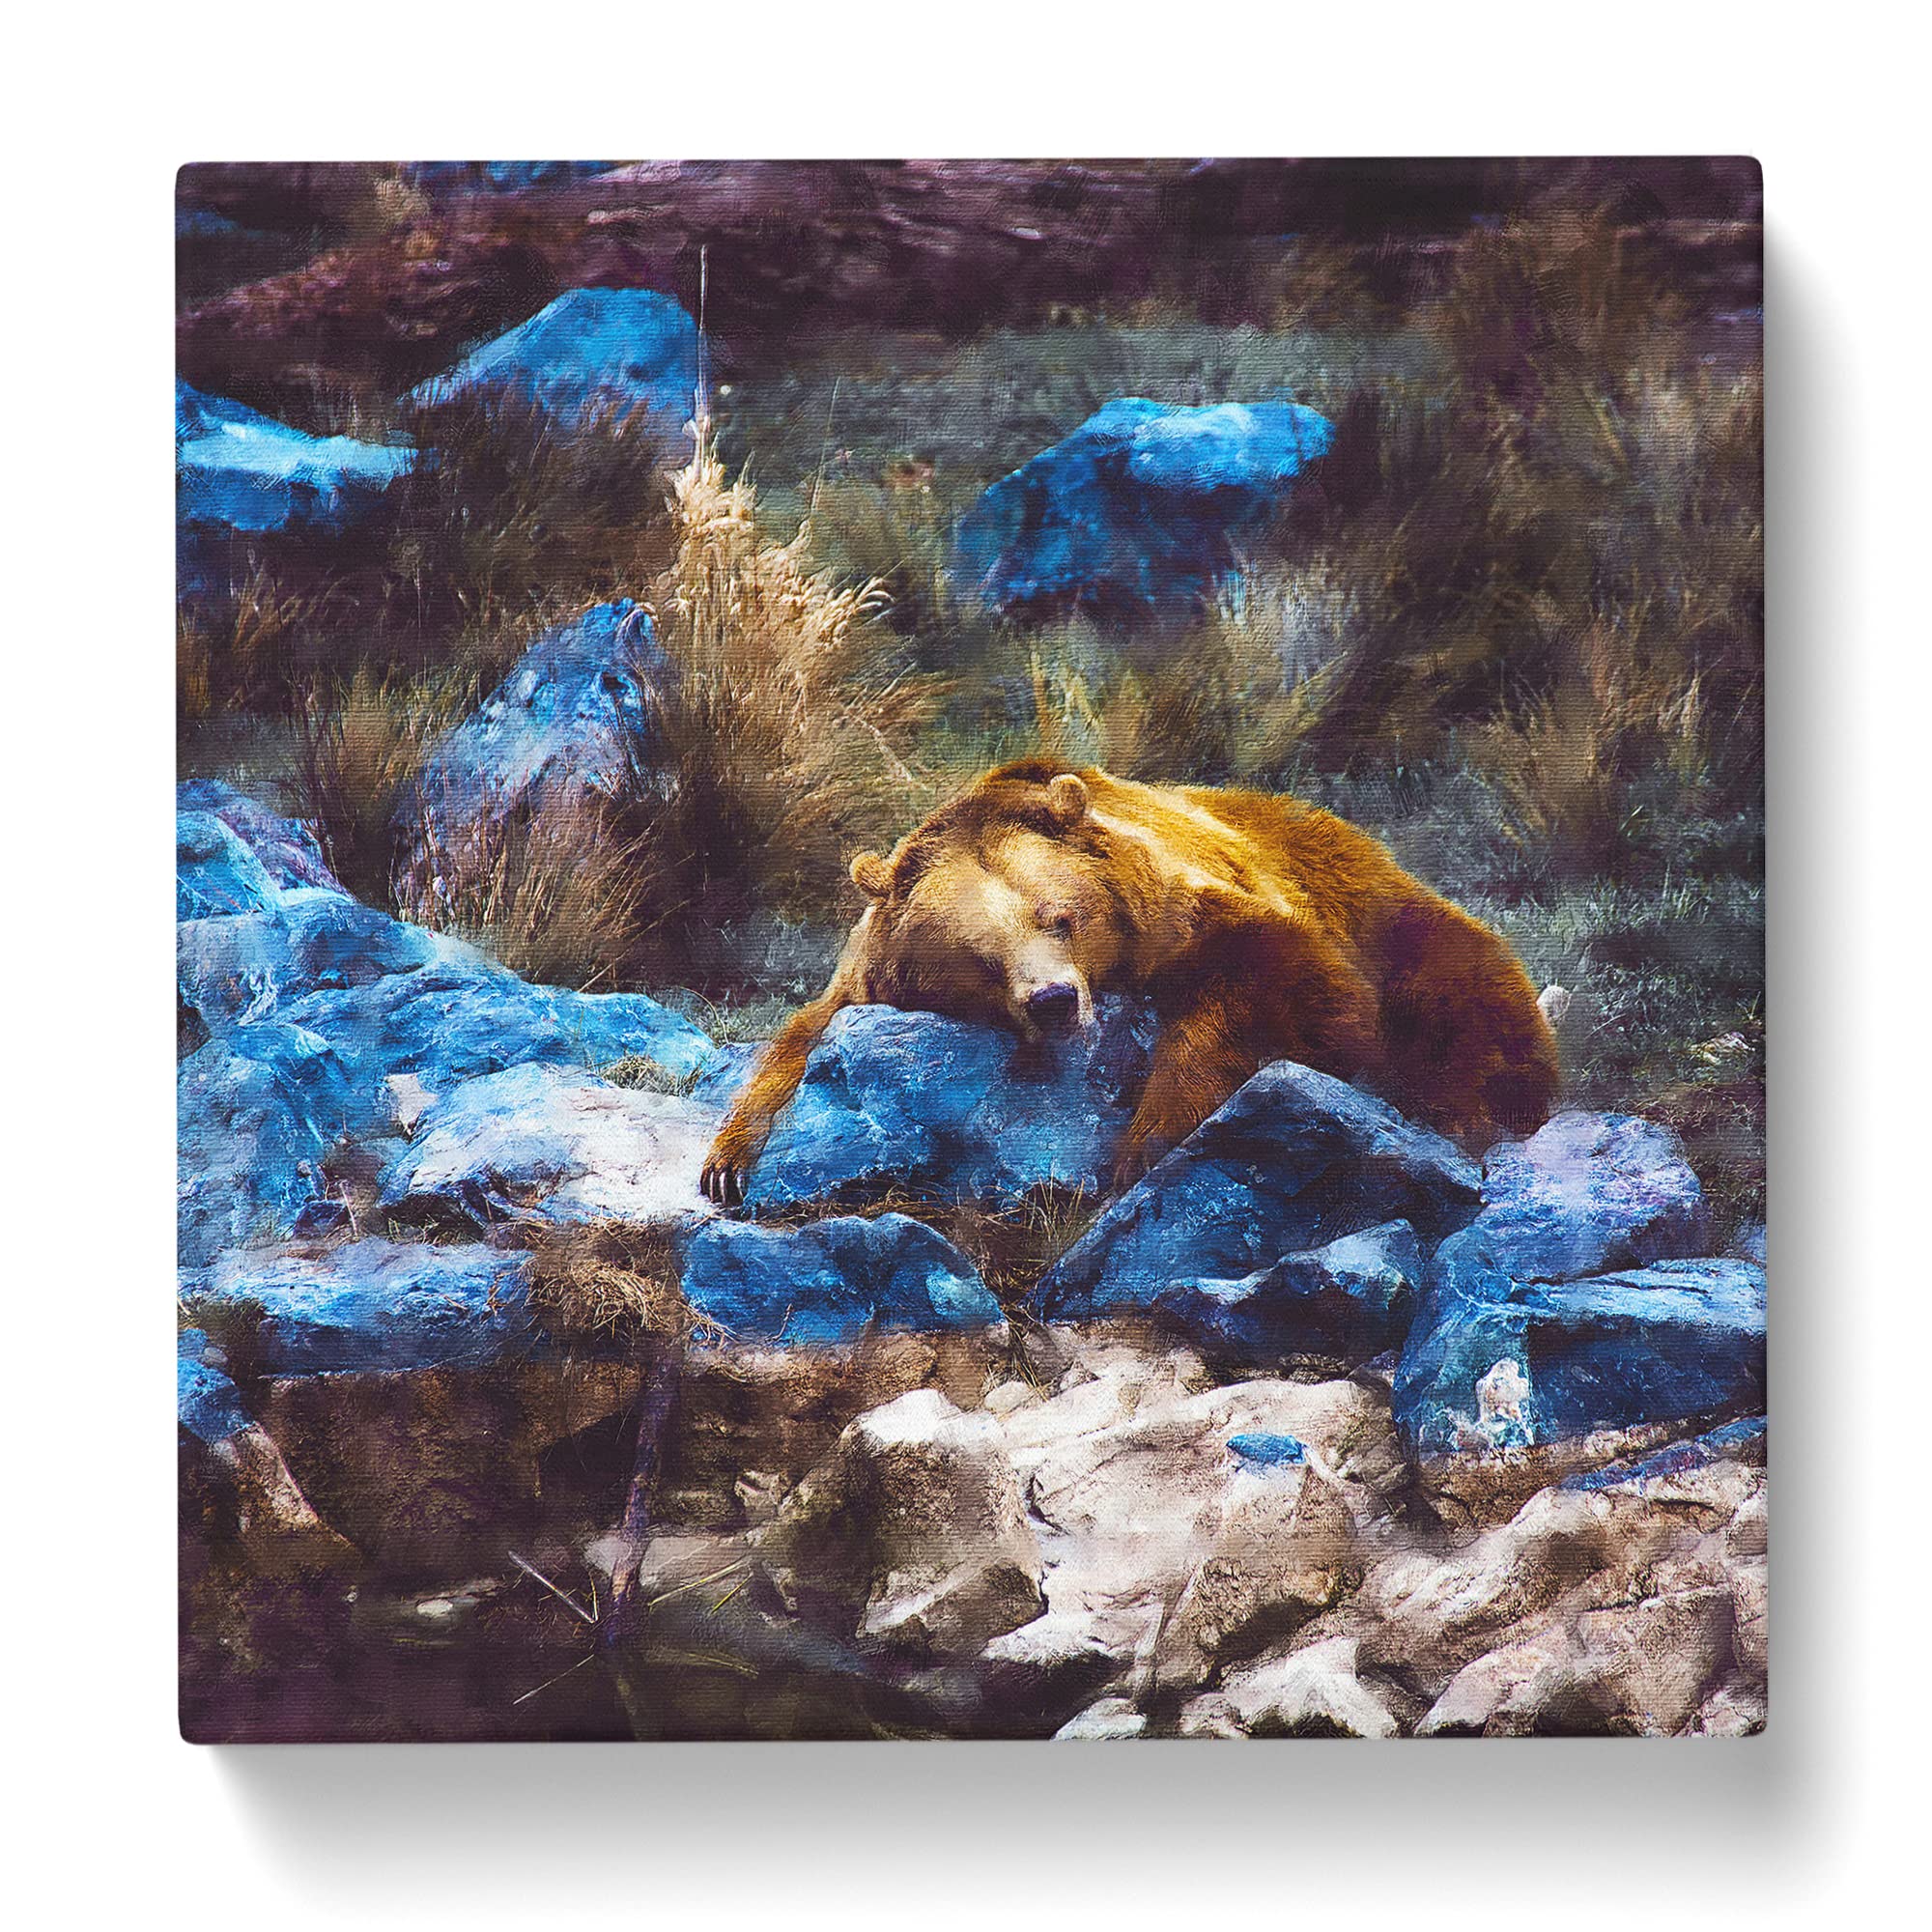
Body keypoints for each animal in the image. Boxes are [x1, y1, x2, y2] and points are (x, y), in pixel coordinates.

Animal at [699, 759, 1559, 1204]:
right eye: (978, 955)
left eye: (1059, 916)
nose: (1054, 1002)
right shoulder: (869, 978)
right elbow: (800, 1039)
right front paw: (728, 1163)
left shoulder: (1189, 910)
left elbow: (1286, 986)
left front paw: (1142, 1147)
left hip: (1372, 901)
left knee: (1462, 991)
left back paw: (1473, 1104)